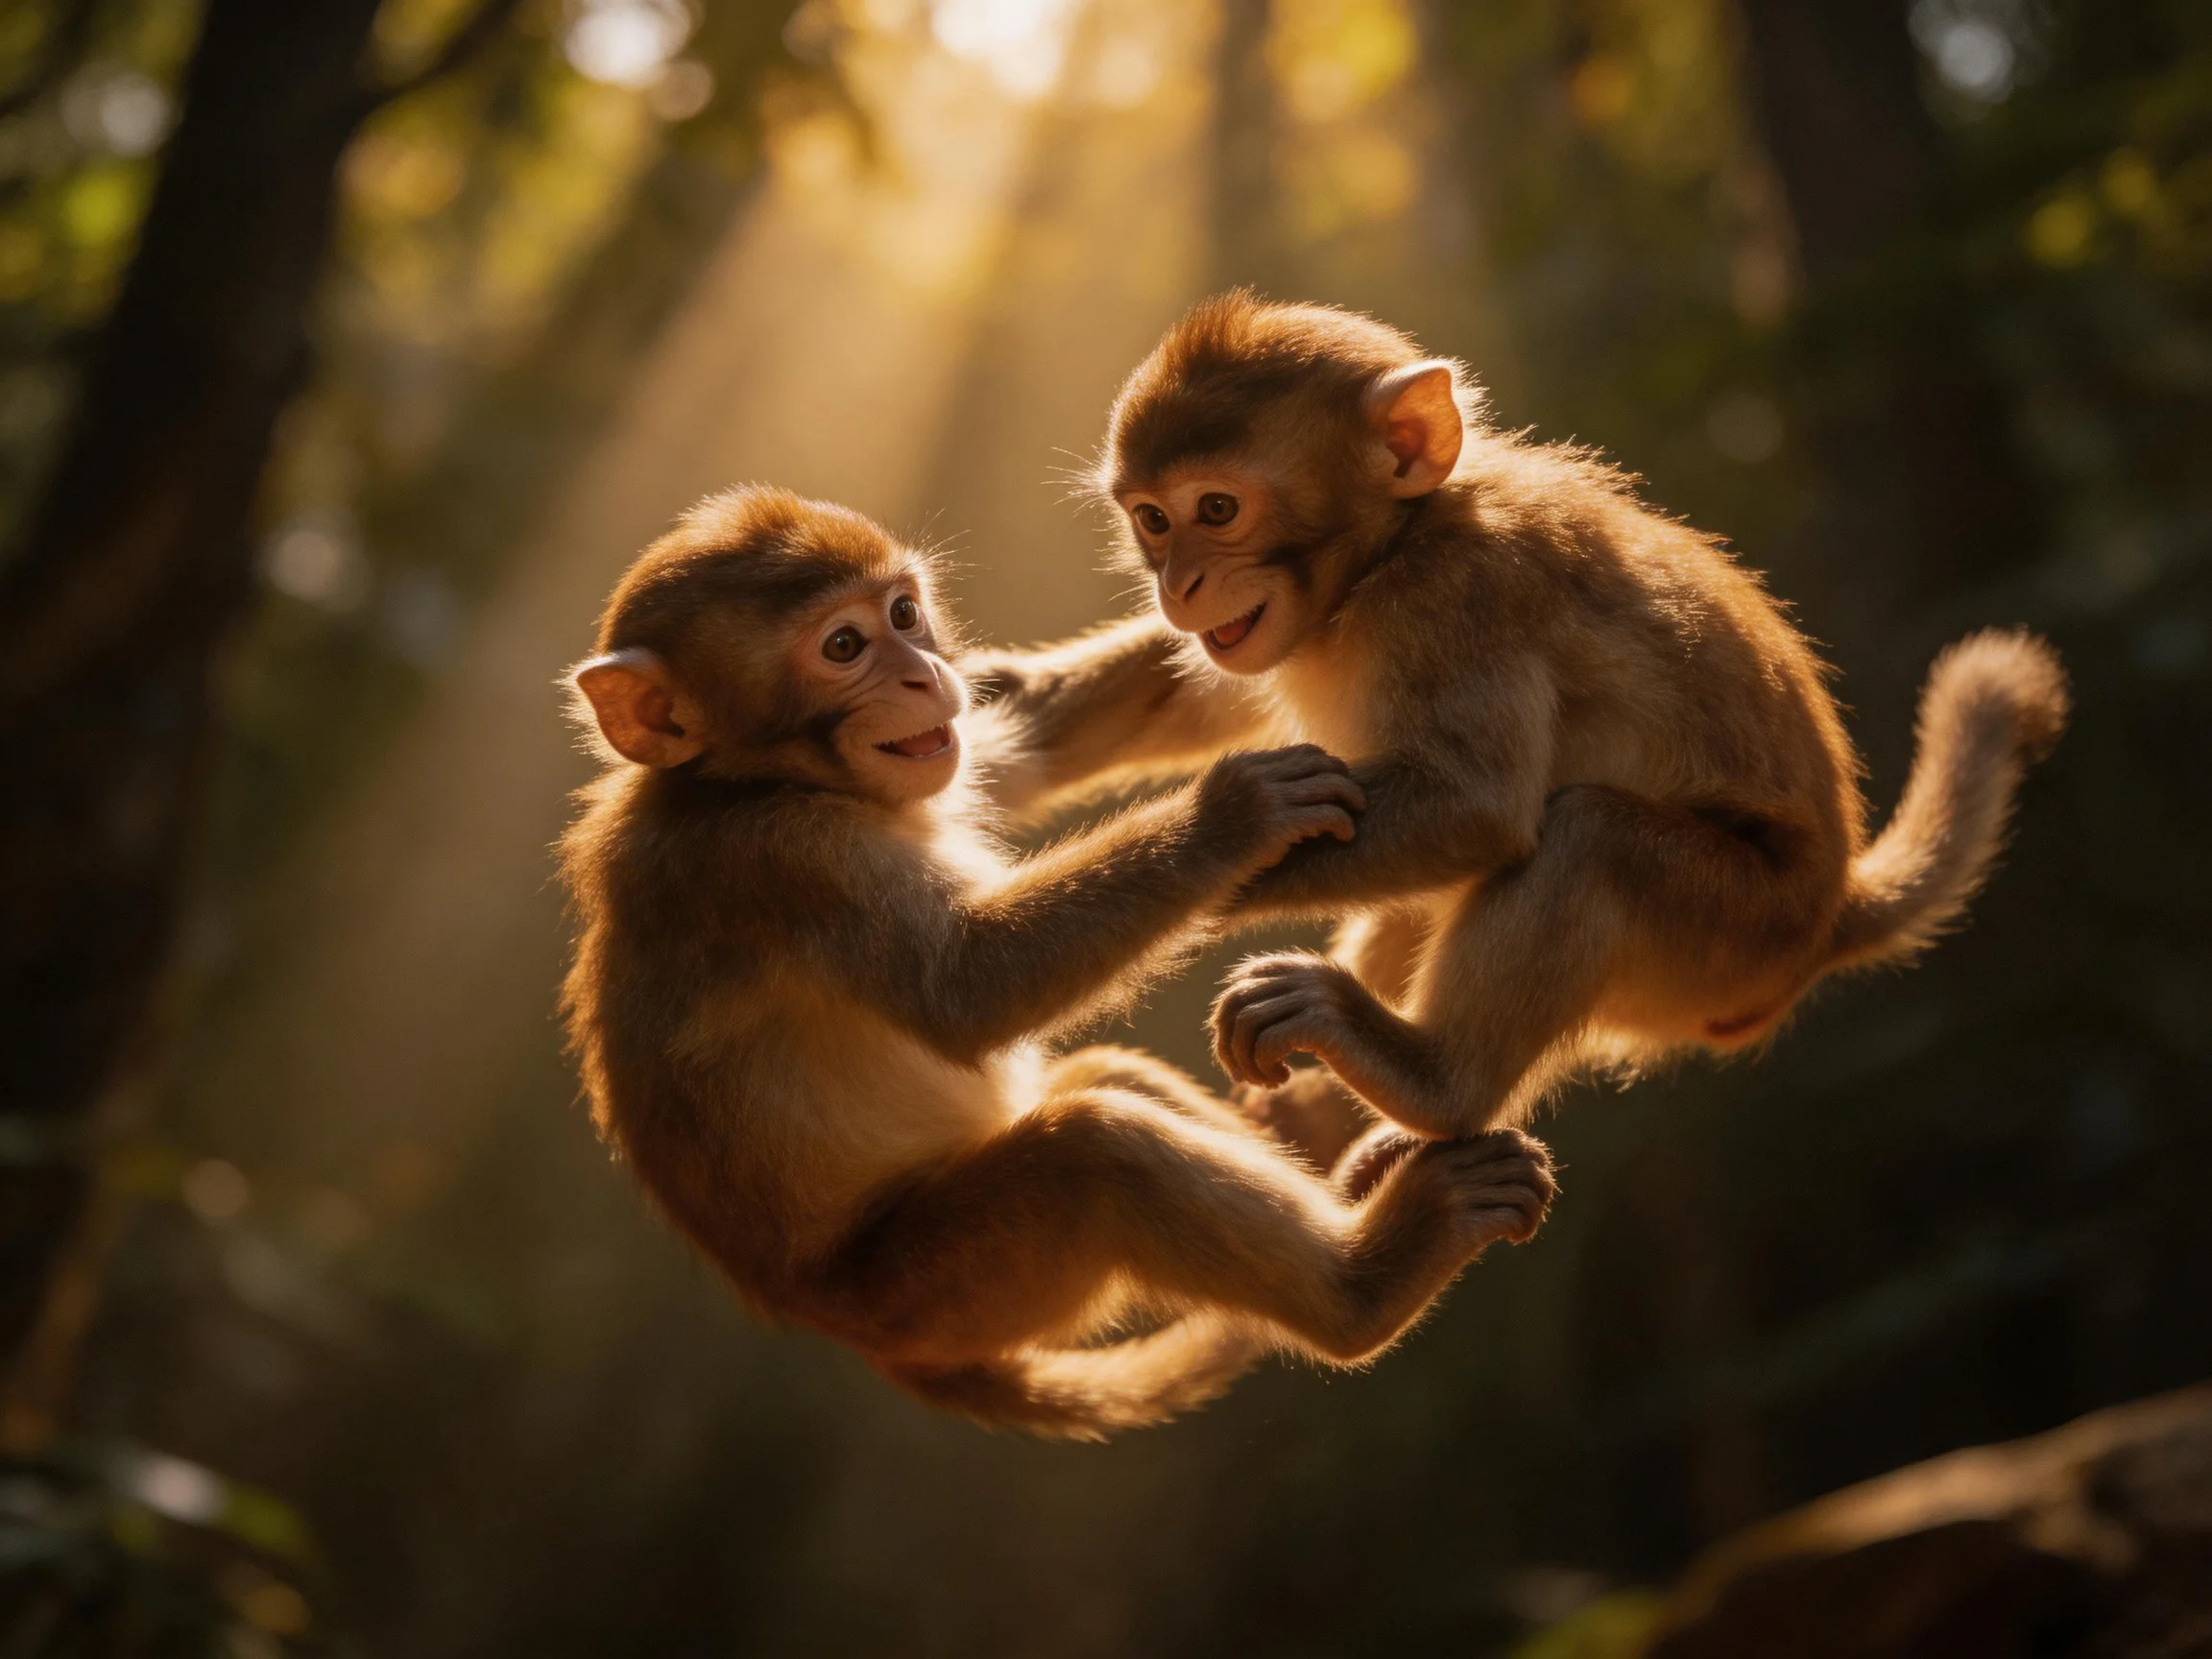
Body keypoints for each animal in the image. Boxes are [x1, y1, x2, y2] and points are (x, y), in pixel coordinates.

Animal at [554, 484, 1558, 1440]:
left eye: (904, 615)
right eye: (843, 645)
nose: (924, 676)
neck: (742, 781)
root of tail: (868, 1339)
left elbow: (1040, 728)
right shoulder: (786, 860)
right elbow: (967, 989)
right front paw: (1231, 817)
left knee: (1104, 1081)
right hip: (954, 1286)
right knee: (1093, 1156)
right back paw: (1369, 1283)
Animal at [965, 292, 2068, 1179]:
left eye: (1218, 509)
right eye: (1153, 520)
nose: (1180, 582)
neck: (1396, 548)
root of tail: (1830, 910)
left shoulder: (1460, 600)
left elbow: (1478, 810)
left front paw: (1197, 856)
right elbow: (1212, 688)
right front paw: (1002, 715)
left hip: (1728, 936)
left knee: (1587, 837)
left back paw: (1428, 1079)